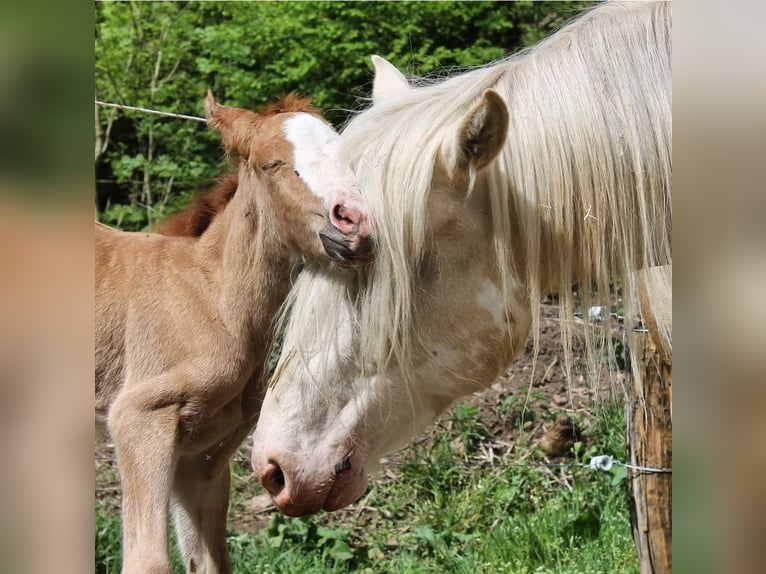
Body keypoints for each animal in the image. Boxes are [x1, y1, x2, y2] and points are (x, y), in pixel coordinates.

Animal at [95, 92, 370, 574]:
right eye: (271, 164)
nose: (353, 222)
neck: (213, 299)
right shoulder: (139, 420)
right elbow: (148, 562)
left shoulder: (200, 458)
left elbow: (210, 562)